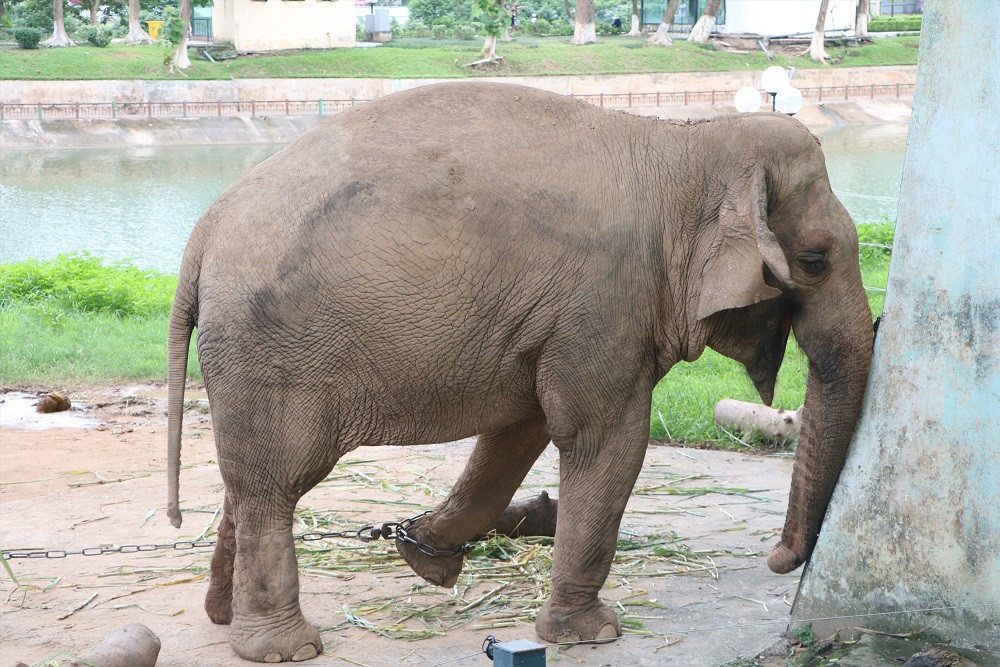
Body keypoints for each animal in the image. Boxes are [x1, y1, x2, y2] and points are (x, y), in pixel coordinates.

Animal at [166, 82, 876, 664]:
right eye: (814, 260)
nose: (779, 558)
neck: (688, 143)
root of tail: (202, 234)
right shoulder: (605, 301)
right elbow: (605, 442)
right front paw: (592, 635)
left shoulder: (556, 319)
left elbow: (521, 429)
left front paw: (423, 557)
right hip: (276, 351)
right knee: (277, 482)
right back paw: (285, 649)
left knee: (249, 481)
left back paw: (223, 618)